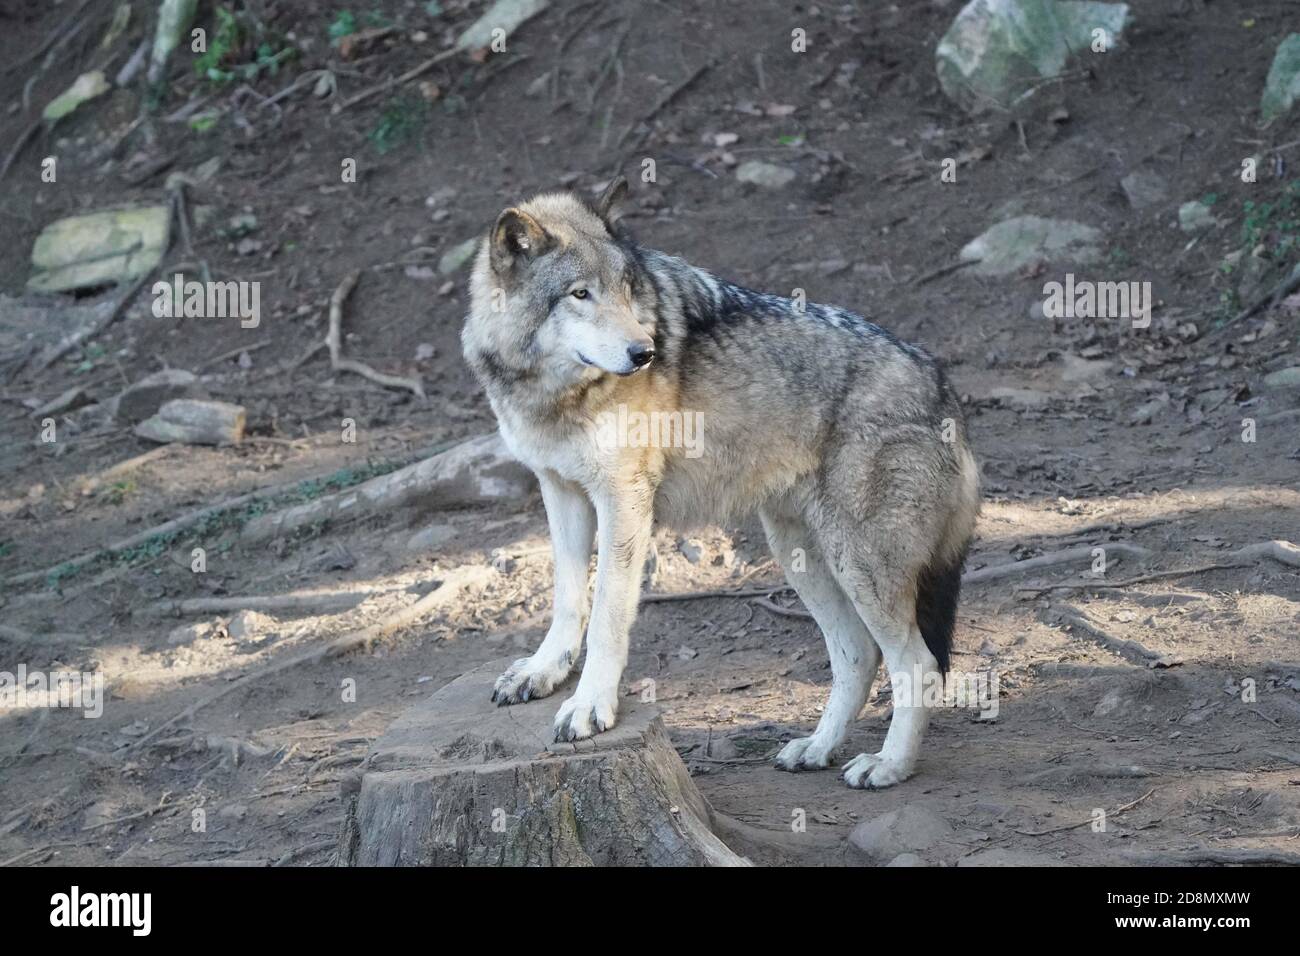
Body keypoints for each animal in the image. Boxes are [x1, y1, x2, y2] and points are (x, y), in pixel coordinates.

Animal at [457, 175, 977, 790]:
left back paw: (889, 765)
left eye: (626, 290)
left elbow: (606, 615)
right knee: (858, 656)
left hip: (857, 562)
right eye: (580, 294)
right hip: (800, 554)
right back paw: (817, 748)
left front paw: (589, 707)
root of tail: (944, 389)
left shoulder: (623, 501)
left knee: (918, 664)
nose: (645, 352)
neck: (551, 394)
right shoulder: (560, 490)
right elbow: (565, 599)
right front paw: (542, 672)